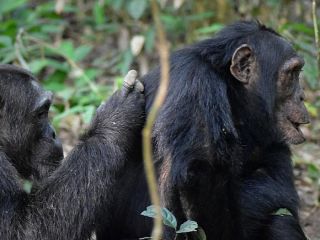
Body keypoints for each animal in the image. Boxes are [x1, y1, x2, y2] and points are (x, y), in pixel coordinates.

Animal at [95, 21, 310, 240]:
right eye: (292, 74)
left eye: (297, 71)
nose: (302, 96)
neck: (231, 90)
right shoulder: (195, 84)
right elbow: (199, 177)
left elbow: (276, 179)